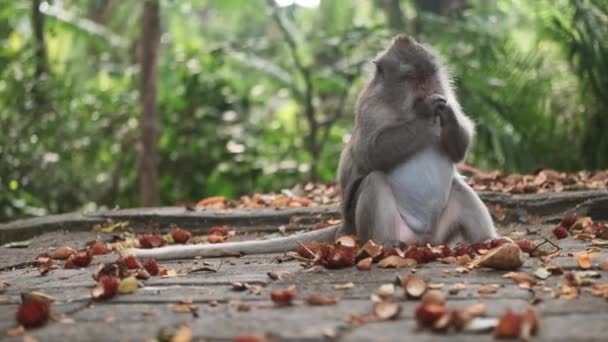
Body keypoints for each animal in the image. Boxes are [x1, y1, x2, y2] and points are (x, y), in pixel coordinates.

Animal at [126, 34, 496, 262]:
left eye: (428, 74)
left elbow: (458, 149)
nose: (426, 90)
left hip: (440, 235)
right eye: (411, 78)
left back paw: (491, 242)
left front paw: (446, 115)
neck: (400, 104)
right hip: (371, 228)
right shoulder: (371, 108)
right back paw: (387, 244)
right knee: (374, 181)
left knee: (459, 188)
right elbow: (371, 152)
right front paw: (425, 113)